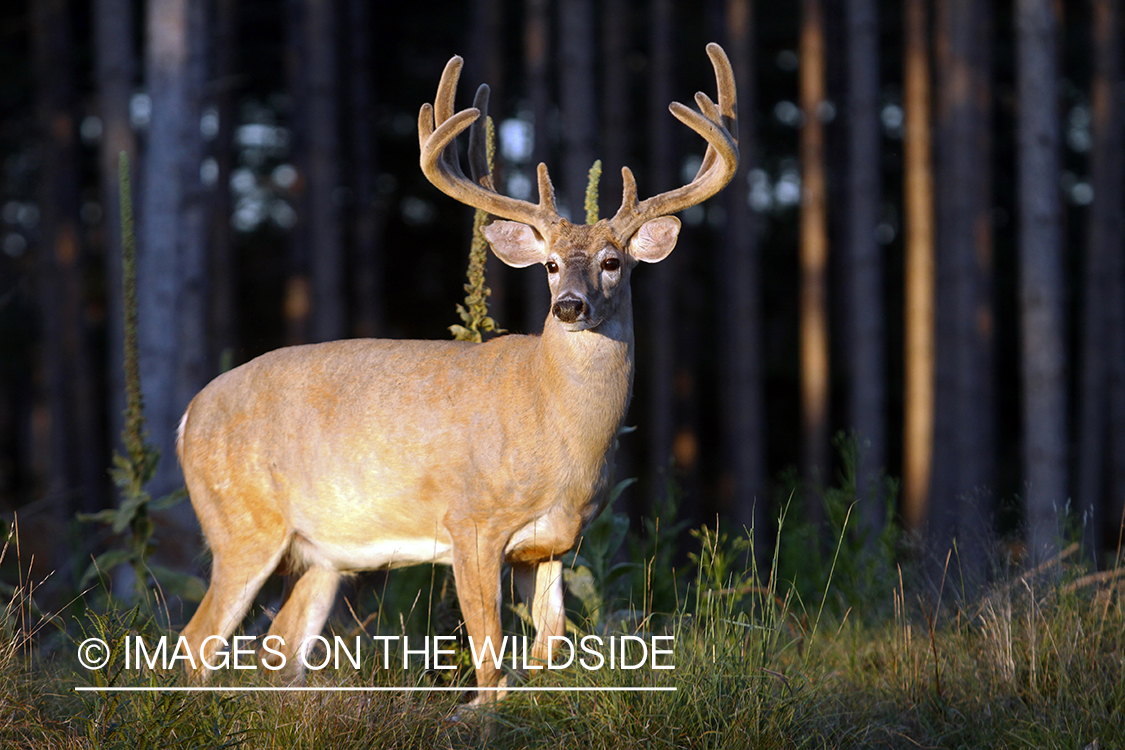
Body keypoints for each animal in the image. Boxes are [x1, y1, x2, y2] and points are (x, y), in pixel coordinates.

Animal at [175, 44, 738, 706]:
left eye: (612, 262)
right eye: (549, 265)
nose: (569, 306)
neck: (559, 428)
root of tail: (187, 415)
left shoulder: (553, 544)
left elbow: (548, 650)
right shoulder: (470, 522)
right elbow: (492, 664)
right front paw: (478, 712)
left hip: (321, 555)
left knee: (278, 652)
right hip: (241, 523)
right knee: (195, 642)